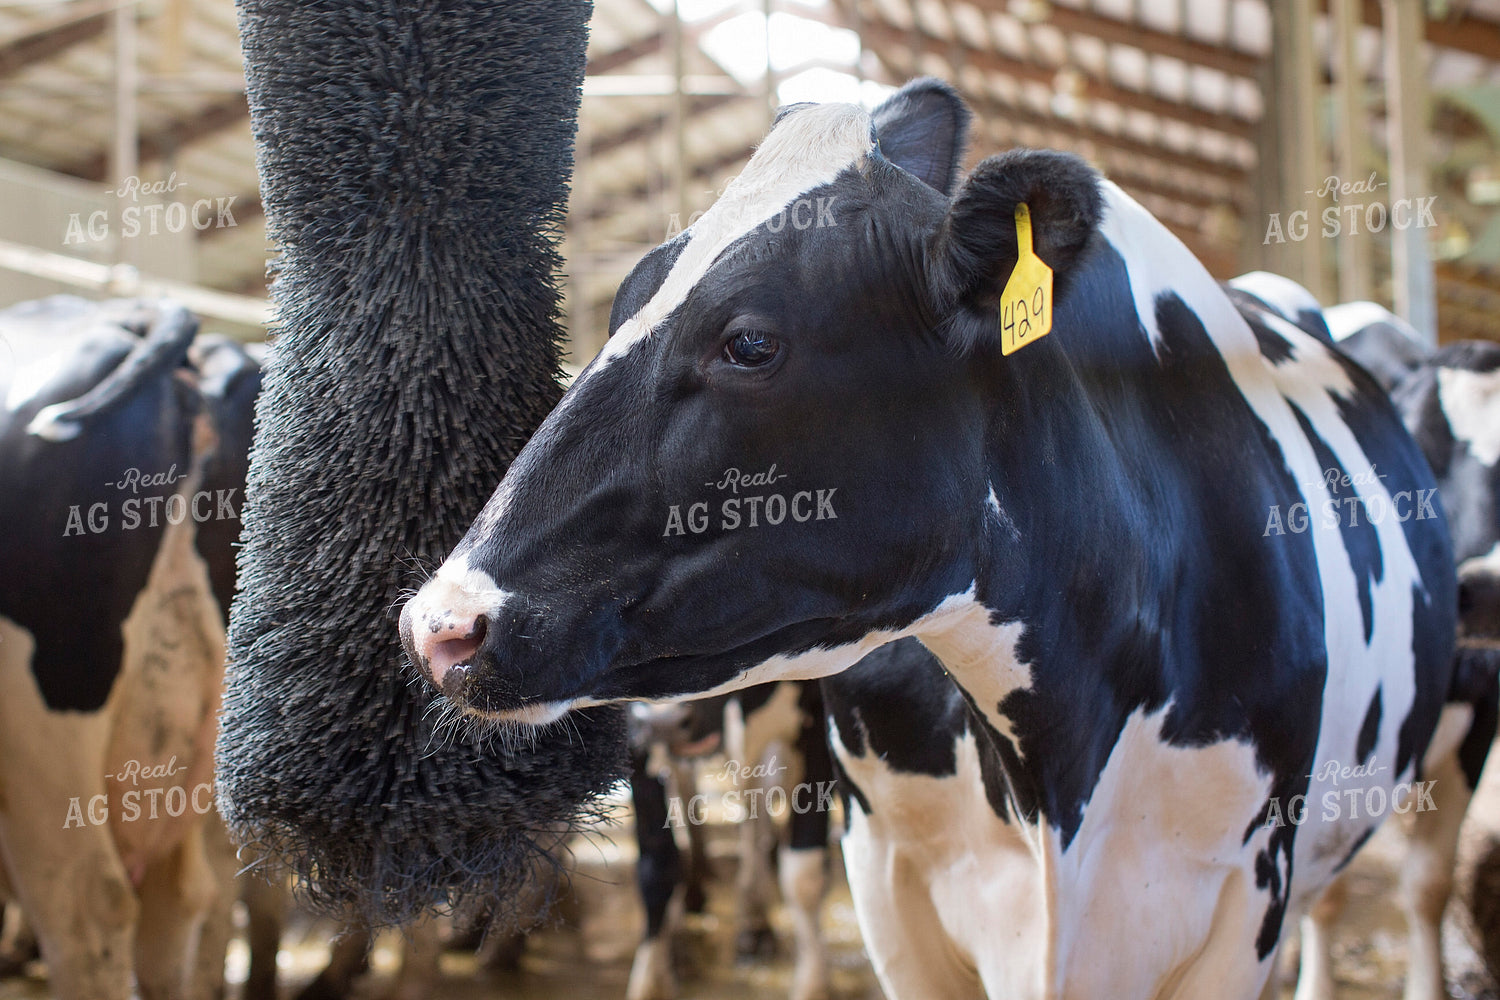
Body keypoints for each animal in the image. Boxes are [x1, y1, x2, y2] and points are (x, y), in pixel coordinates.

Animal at [399, 78, 1483, 999]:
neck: (1058, 767)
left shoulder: (1246, 888)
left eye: (749, 342)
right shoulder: (889, 872)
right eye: (621, 307)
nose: (441, 624)